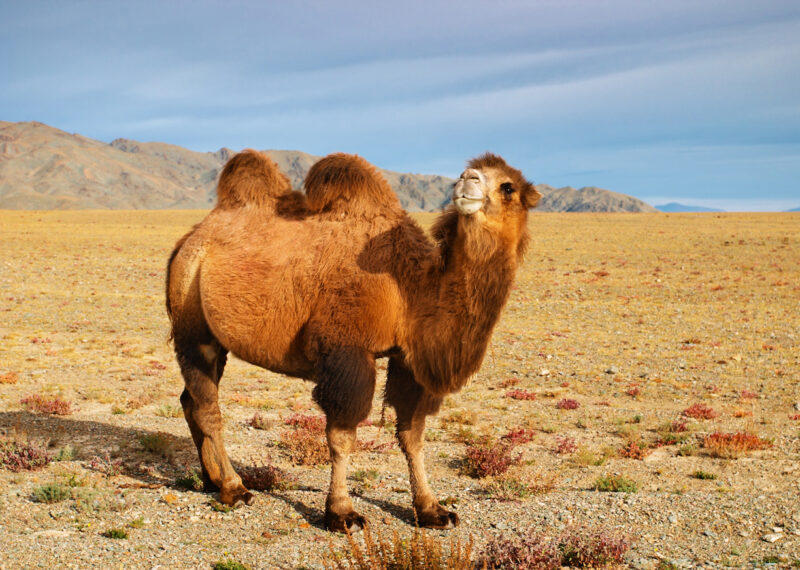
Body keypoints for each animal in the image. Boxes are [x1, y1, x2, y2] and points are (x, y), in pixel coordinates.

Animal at [165, 149, 540, 532]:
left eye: (508, 186)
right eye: (468, 174)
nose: (468, 179)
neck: (410, 287)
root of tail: (190, 239)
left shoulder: (407, 359)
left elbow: (413, 434)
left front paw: (432, 509)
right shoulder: (347, 349)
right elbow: (343, 436)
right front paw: (342, 513)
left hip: (215, 336)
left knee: (190, 399)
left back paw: (211, 479)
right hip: (192, 323)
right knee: (208, 406)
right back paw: (234, 488)